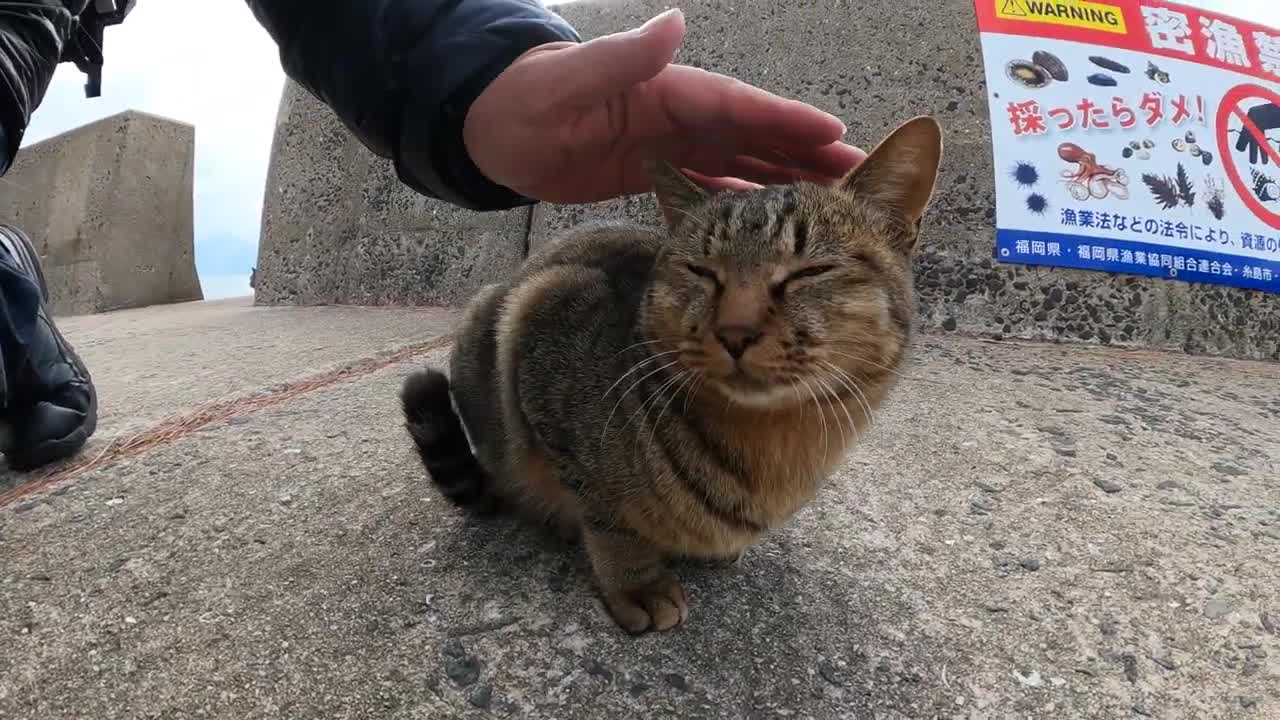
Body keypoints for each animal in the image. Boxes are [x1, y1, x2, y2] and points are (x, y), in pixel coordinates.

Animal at [404, 114, 947, 630]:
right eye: (700, 271)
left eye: (809, 272)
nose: (735, 332)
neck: (773, 443)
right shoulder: (543, 315)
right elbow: (607, 514)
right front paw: (637, 582)